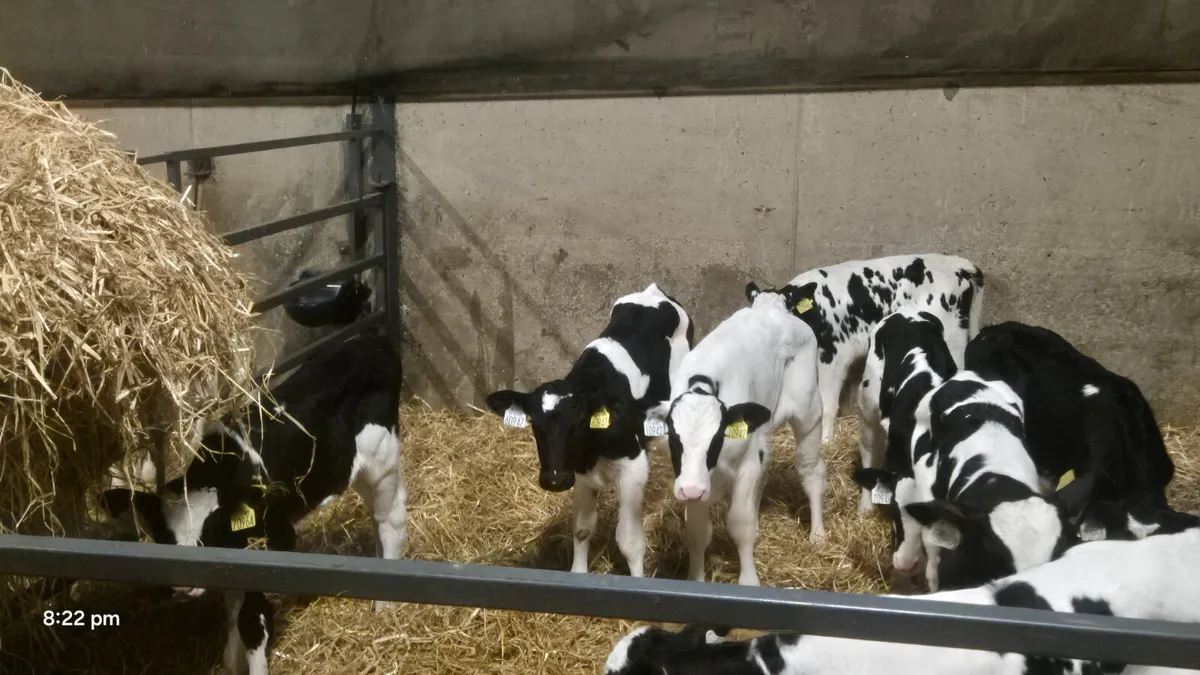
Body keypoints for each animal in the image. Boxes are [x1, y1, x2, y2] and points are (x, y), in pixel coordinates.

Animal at [100, 333, 404, 675]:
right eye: (161, 534)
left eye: (209, 528)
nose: (181, 585)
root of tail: (371, 338)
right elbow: (233, 608)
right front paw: (232, 660)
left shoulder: (271, 542)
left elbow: (250, 620)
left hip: (381, 460)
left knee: (390, 521)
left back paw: (385, 604)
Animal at [484, 283, 692, 578]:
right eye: (535, 424)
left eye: (578, 423)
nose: (555, 480)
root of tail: (654, 292)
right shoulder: (579, 473)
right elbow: (582, 529)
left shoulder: (634, 466)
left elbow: (629, 540)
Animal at [643, 287, 822, 585]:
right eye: (675, 440)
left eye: (716, 439)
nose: (691, 490)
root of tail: (773, 308)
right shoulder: (693, 479)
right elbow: (697, 533)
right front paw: (696, 579)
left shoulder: (746, 463)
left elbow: (740, 524)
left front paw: (749, 581)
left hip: (807, 412)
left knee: (812, 471)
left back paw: (818, 534)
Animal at [744, 253, 984, 446]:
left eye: (784, 312)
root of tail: (961, 264)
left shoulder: (834, 355)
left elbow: (827, 404)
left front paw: (825, 441)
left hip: (953, 337)